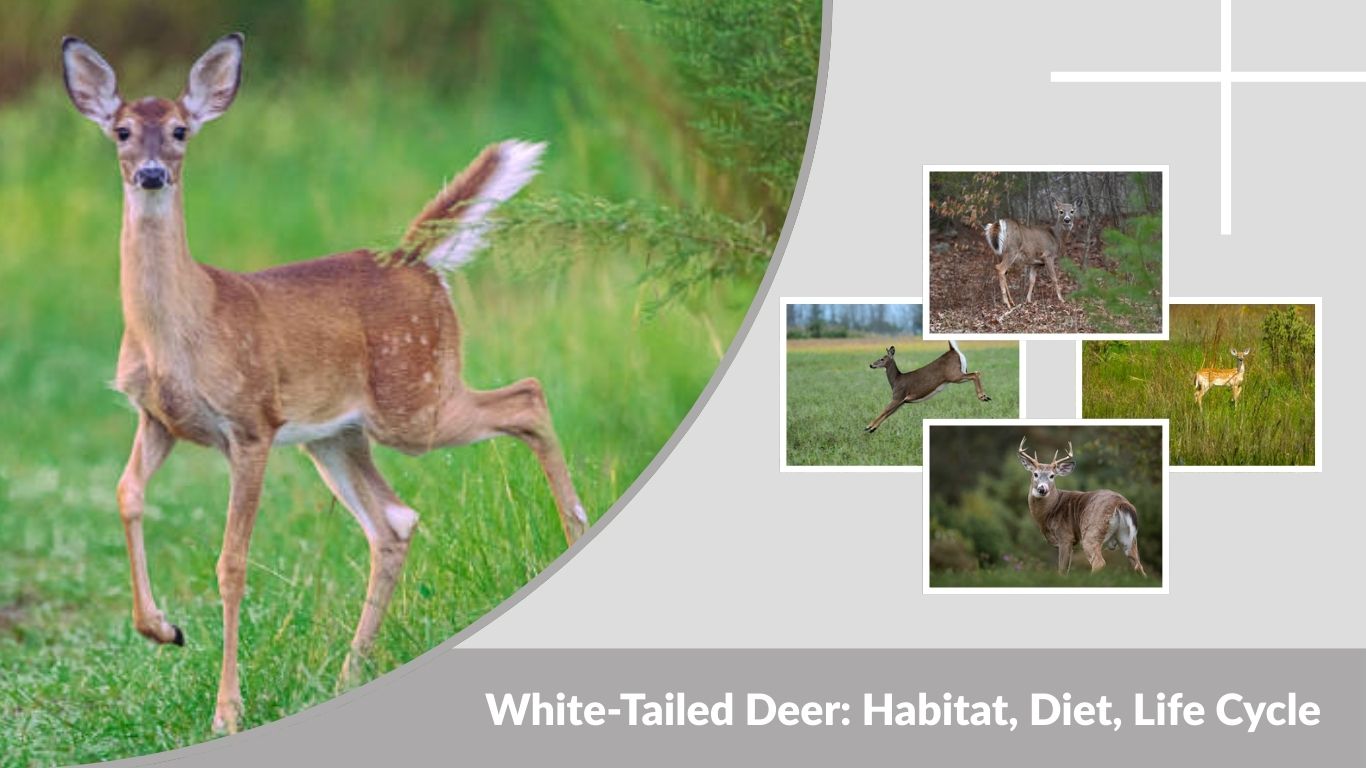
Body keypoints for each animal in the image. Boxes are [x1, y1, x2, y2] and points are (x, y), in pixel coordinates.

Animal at [62, 33, 588, 734]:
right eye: (121, 131)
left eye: (179, 130)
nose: (151, 173)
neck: (181, 330)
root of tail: (416, 260)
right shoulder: (157, 418)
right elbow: (126, 494)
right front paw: (162, 629)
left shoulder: (251, 423)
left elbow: (231, 563)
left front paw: (226, 710)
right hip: (337, 435)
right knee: (394, 521)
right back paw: (348, 675)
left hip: (414, 399)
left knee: (527, 395)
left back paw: (576, 532)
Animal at [1016, 438, 1146, 576]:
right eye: (1035, 474)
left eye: (1052, 475)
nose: (1042, 489)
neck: (1049, 511)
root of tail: (1121, 503)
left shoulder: (1066, 537)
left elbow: (1062, 570)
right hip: (1128, 537)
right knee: (1138, 566)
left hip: (1092, 531)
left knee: (1099, 562)